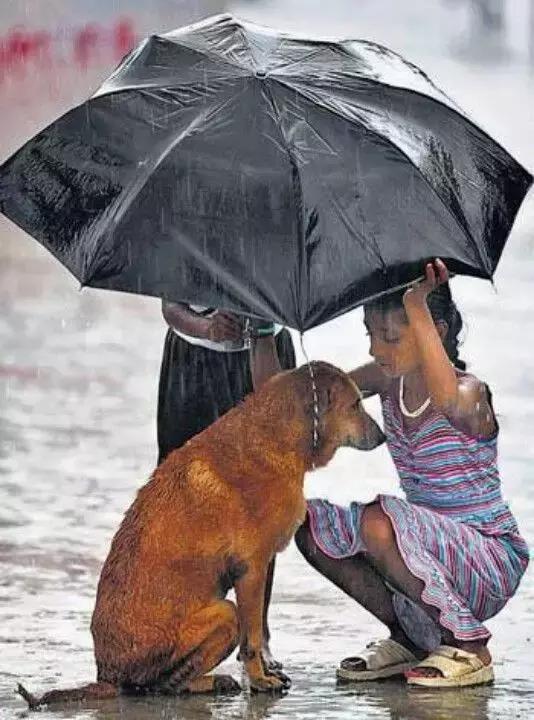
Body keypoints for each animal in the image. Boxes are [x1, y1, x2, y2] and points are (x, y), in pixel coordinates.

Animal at [17, 362, 386, 704]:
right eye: (355, 405)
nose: (383, 437)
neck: (274, 435)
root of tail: (106, 676)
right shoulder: (252, 570)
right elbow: (253, 640)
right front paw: (260, 680)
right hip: (224, 615)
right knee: (161, 686)